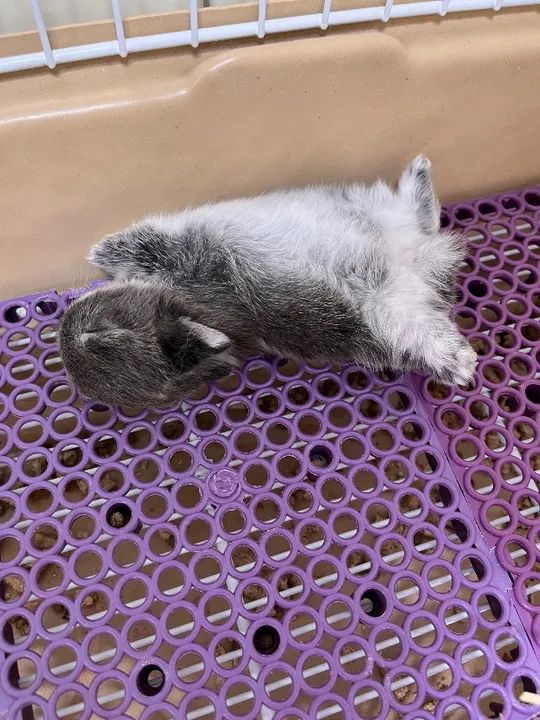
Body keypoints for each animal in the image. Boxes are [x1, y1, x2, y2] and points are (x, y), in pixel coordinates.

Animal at [58, 155, 476, 408]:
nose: (65, 323)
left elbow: (141, 244)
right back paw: (461, 364)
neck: (185, 296)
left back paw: (419, 168)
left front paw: (100, 250)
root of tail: (415, 255)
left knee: (422, 212)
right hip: (393, 317)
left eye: (101, 330)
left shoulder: (183, 245)